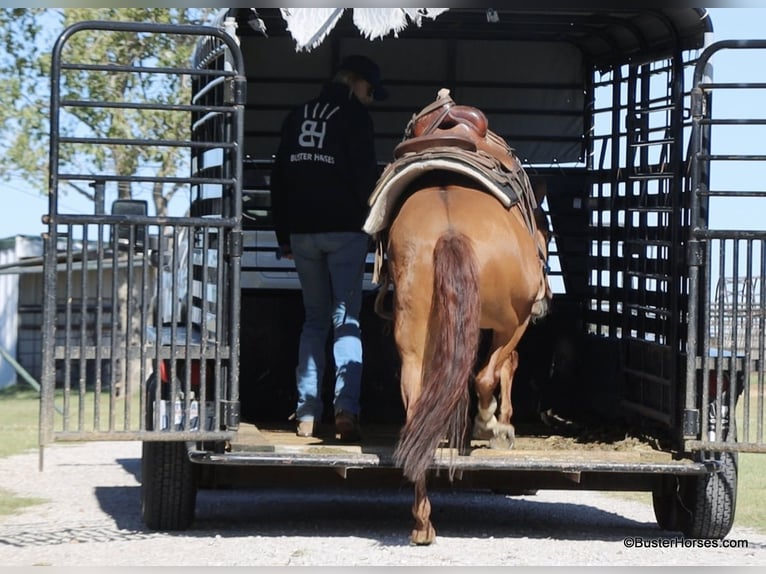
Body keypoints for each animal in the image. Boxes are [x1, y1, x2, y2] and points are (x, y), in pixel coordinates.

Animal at [366, 90, 552, 544]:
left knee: (418, 414)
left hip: (415, 346)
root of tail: (450, 230)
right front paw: (497, 424)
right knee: (485, 374)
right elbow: (501, 368)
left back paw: (422, 520)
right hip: (511, 320)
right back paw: (489, 426)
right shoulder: (511, 326)